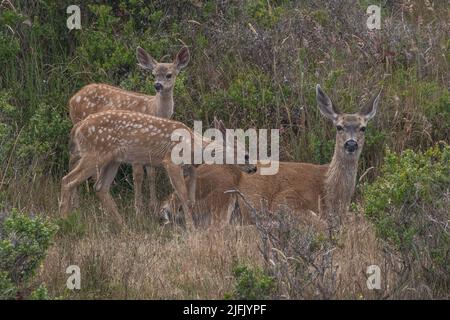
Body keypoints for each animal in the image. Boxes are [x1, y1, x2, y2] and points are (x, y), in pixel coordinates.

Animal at [59, 110, 256, 230]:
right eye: (246, 155)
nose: (254, 168)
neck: (195, 148)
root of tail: (77, 128)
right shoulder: (170, 162)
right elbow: (183, 195)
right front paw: (191, 228)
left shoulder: (191, 169)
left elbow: (191, 199)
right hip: (94, 154)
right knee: (67, 180)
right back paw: (64, 222)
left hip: (112, 160)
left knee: (100, 187)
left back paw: (123, 225)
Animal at [67, 45, 189, 214]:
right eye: (153, 74)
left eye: (169, 75)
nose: (157, 85)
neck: (153, 109)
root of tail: (72, 99)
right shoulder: (136, 142)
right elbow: (138, 175)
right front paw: (138, 209)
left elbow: (151, 173)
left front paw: (153, 205)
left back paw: (77, 204)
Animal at [161, 85, 380, 230]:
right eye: (339, 126)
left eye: (363, 127)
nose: (350, 144)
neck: (328, 192)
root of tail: (168, 205)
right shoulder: (286, 199)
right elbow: (320, 223)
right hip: (220, 190)